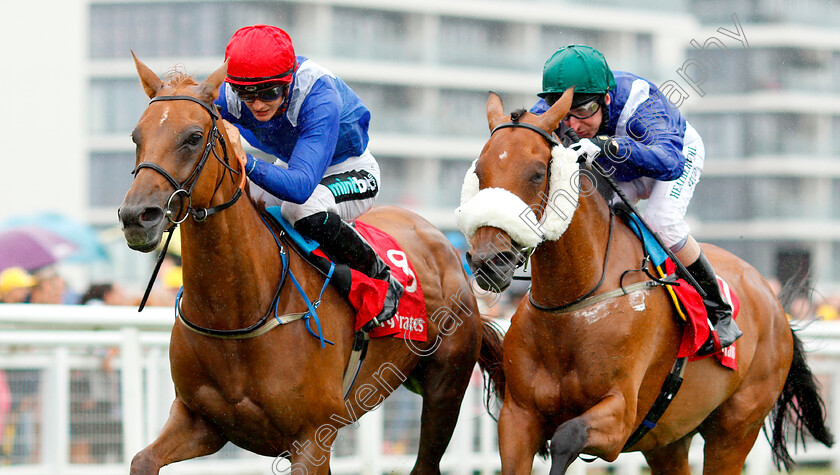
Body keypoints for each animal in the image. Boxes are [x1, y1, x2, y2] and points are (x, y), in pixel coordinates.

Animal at [115, 56, 502, 475]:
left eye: (193, 136)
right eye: (136, 136)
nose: (137, 216)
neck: (238, 312)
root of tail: (442, 244)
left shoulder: (313, 435)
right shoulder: (201, 421)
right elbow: (142, 459)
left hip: (444, 389)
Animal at [460, 90, 832, 475]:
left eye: (536, 174)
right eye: (479, 171)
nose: (489, 260)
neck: (573, 302)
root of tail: (774, 302)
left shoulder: (620, 416)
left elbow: (566, 437)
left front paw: (592, 147)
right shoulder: (518, 418)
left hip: (736, 427)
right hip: (668, 439)